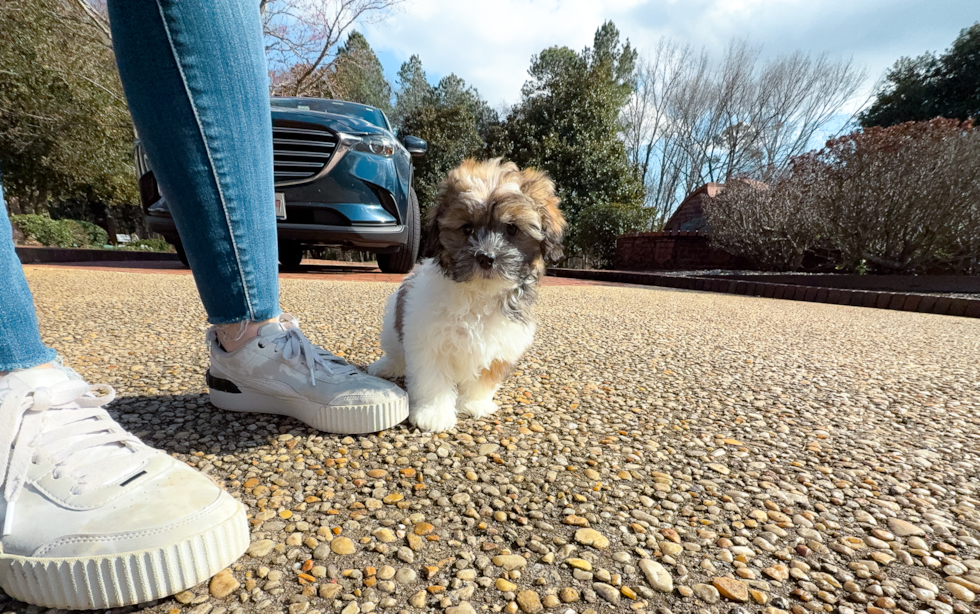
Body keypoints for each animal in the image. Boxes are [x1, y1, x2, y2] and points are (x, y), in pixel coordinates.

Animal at [368, 161, 568, 436]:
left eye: (512, 229)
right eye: (467, 229)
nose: (486, 257)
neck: (479, 293)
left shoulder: (501, 346)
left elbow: (483, 378)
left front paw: (474, 403)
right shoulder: (429, 342)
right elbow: (434, 380)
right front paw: (434, 414)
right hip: (392, 325)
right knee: (396, 351)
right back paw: (386, 367)